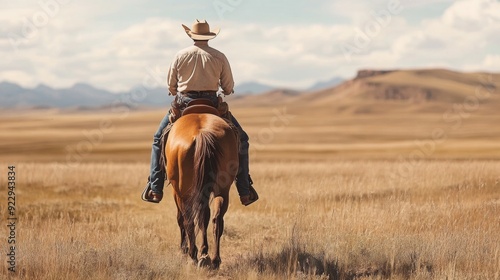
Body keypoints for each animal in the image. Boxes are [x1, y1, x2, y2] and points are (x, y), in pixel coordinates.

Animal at [165, 111, 239, 270]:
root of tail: (201, 134)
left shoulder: (176, 192)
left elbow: (180, 219)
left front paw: (183, 249)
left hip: (182, 192)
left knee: (188, 220)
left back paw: (194, 255)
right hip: (222, 190)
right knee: (216, 219)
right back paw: (213, 259)